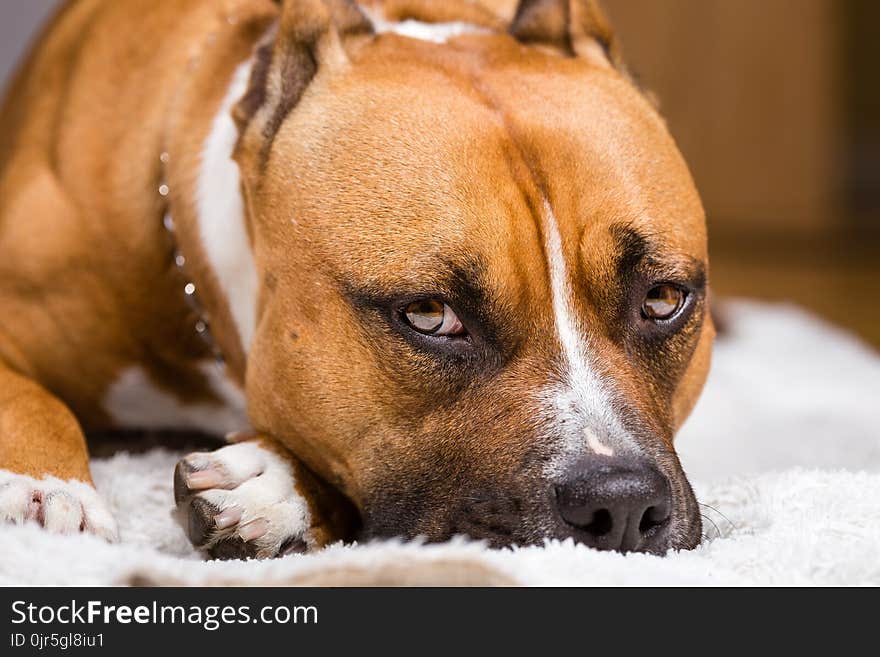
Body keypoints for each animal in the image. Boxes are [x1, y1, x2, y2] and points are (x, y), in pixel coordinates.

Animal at [0, 0, 712, 560]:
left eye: (663, 300)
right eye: (430, 315)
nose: (620, 504)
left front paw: (278, 487)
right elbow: (32, 399)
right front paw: (48, 490)